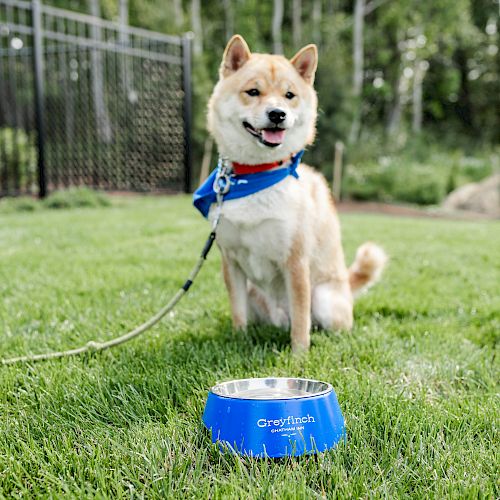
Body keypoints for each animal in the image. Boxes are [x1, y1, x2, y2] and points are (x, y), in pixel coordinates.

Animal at [200, 35, 386, 352]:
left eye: (289, 95)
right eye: (253, 91)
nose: (277, 114)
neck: (257, 174)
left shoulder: (296, 262)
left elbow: (301, 319)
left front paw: (299, 354)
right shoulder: (231, 262)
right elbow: (237, 312)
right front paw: (238, 339)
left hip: (324, 299)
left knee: (323, 324)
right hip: (256, 293)